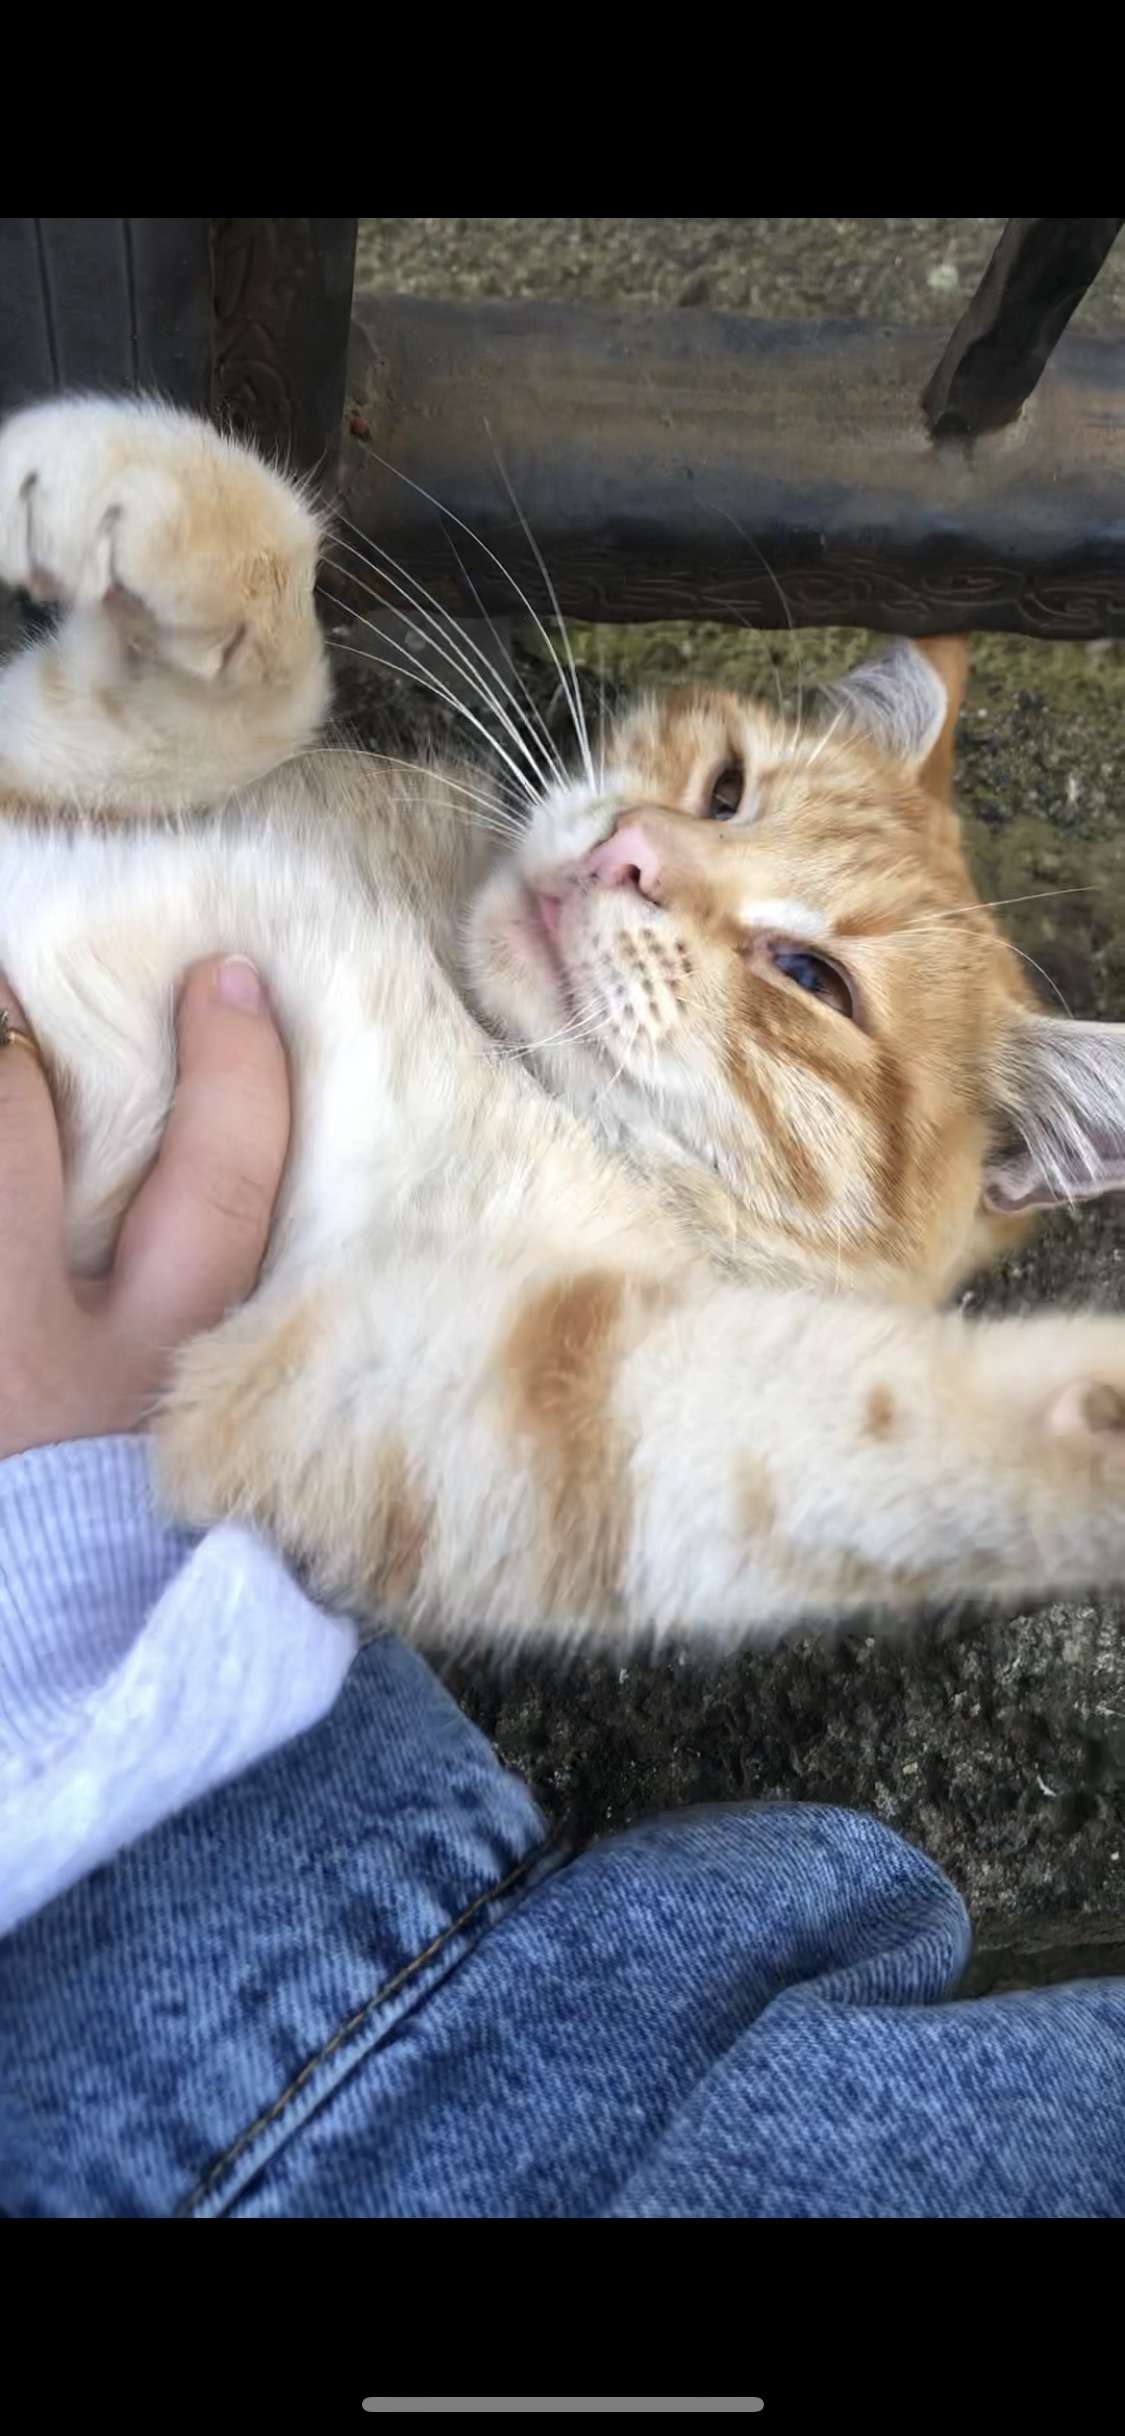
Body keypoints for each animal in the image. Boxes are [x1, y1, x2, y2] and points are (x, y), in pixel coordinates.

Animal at [2, 392, 1125, 1656]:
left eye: (813, 979)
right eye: (726, 789)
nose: (627, 854)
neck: (476, 1029)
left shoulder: (347, 1387)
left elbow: (800, 1430)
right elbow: (255, 678)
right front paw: (139, 491)